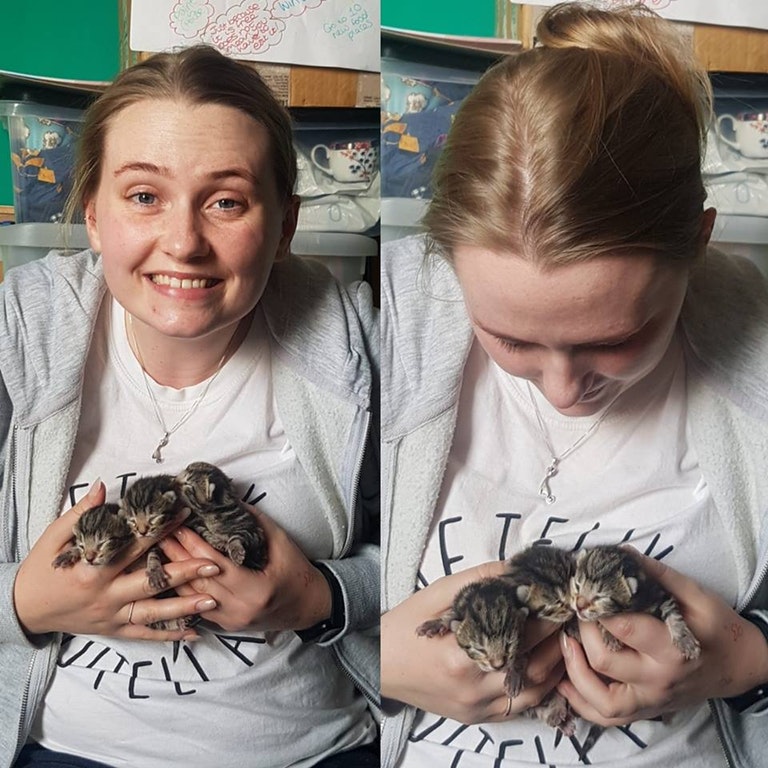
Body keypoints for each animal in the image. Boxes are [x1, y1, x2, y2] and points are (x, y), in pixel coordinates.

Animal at [568, 544, 704, 660]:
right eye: (577, 585)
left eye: (600, 597)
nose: (579, 606)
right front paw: (610, 635)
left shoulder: (659, 593)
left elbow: (673, 614)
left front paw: (685, 641)